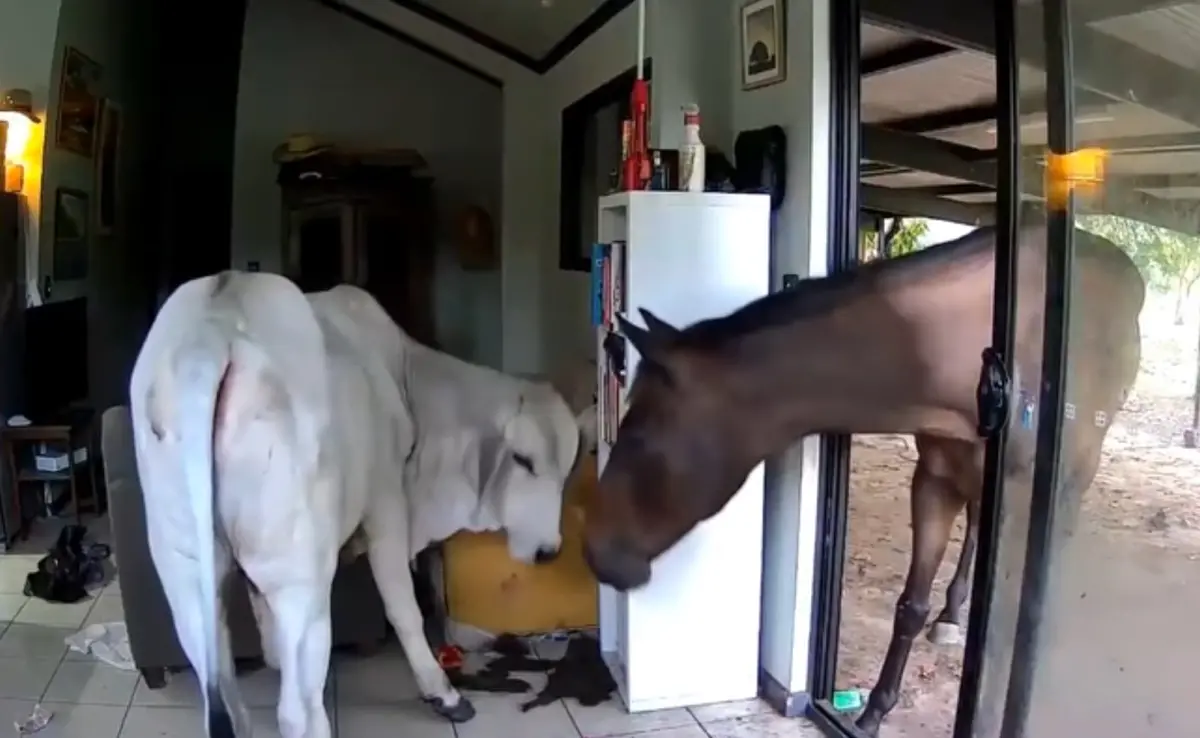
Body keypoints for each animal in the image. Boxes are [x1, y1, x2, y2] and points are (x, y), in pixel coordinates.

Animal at [581, 224, 1145, 735]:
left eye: (640, 435)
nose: (595, 551)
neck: (980, 365)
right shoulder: (935, 482)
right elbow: (910, 606)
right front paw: (875, 711)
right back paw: (952, 613)